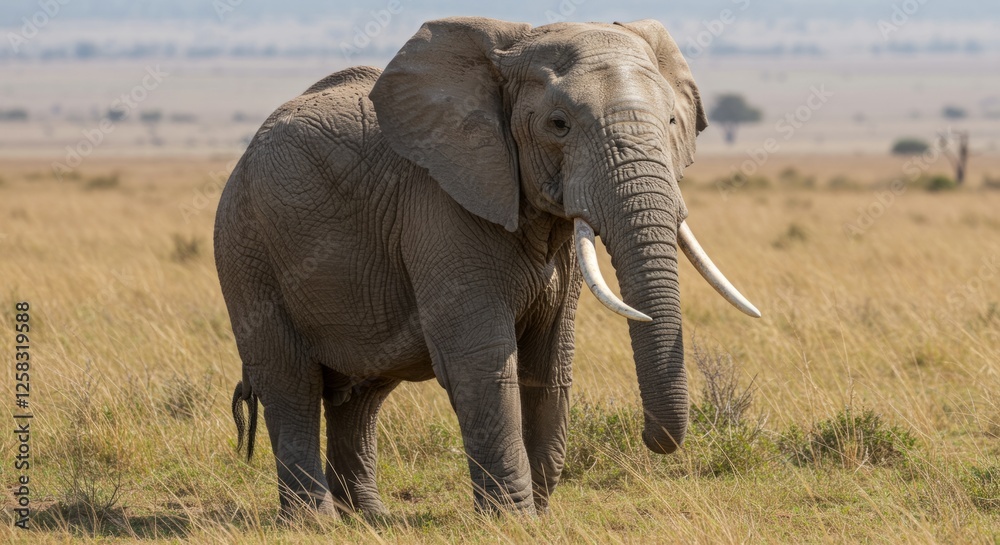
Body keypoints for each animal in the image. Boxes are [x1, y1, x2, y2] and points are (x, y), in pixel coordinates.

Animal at [216, 16, 760, 519]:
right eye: (558, 124)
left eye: (672, 122)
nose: (654, 440)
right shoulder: (440, 205)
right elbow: (482, 363)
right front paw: (513, 520)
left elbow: (551, 364)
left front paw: (538, 514)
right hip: (246, 246)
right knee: (291, 383)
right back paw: (317, 521)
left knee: (362, 393)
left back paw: (369, 518)